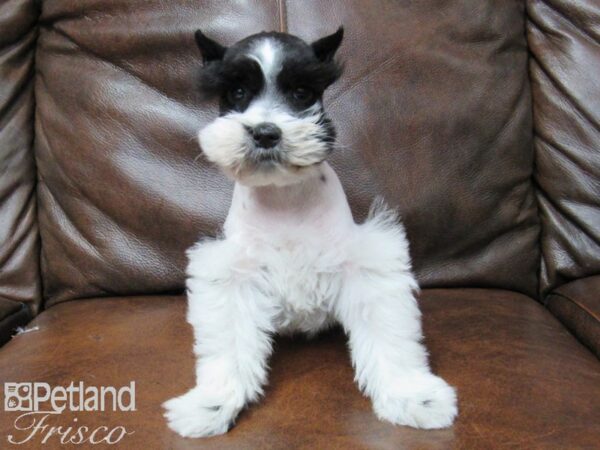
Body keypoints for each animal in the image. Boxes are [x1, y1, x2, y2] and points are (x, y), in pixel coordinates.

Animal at [162, 26, 458, 438]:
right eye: (237, 92)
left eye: (302, 93)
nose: (265, 133)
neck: (284, 197)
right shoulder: (232, 278)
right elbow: (229, 348)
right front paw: (210, 404)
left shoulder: (366, 268)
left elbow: (389, 338)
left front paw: (413, 397)